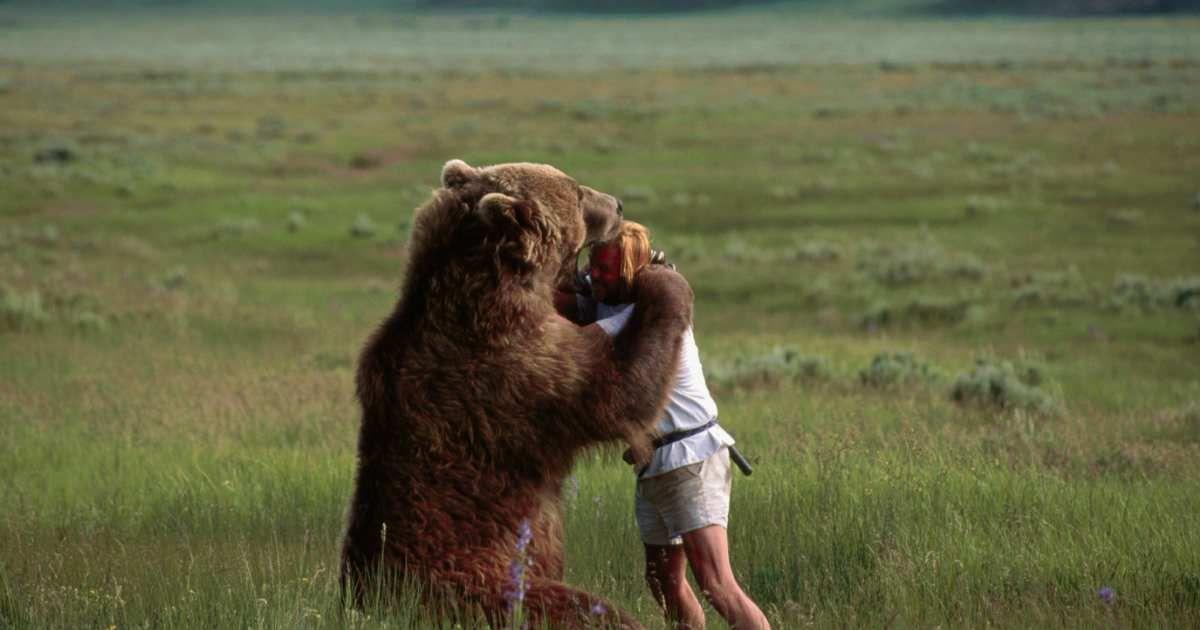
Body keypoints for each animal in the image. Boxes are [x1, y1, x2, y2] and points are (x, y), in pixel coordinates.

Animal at [340, 159, 694, 629]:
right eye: (577, 193)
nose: (617, 204)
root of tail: (372, 602)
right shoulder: (518, 365)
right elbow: (616, 391)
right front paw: (664, 281)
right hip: (481, 584)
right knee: (587, 611)